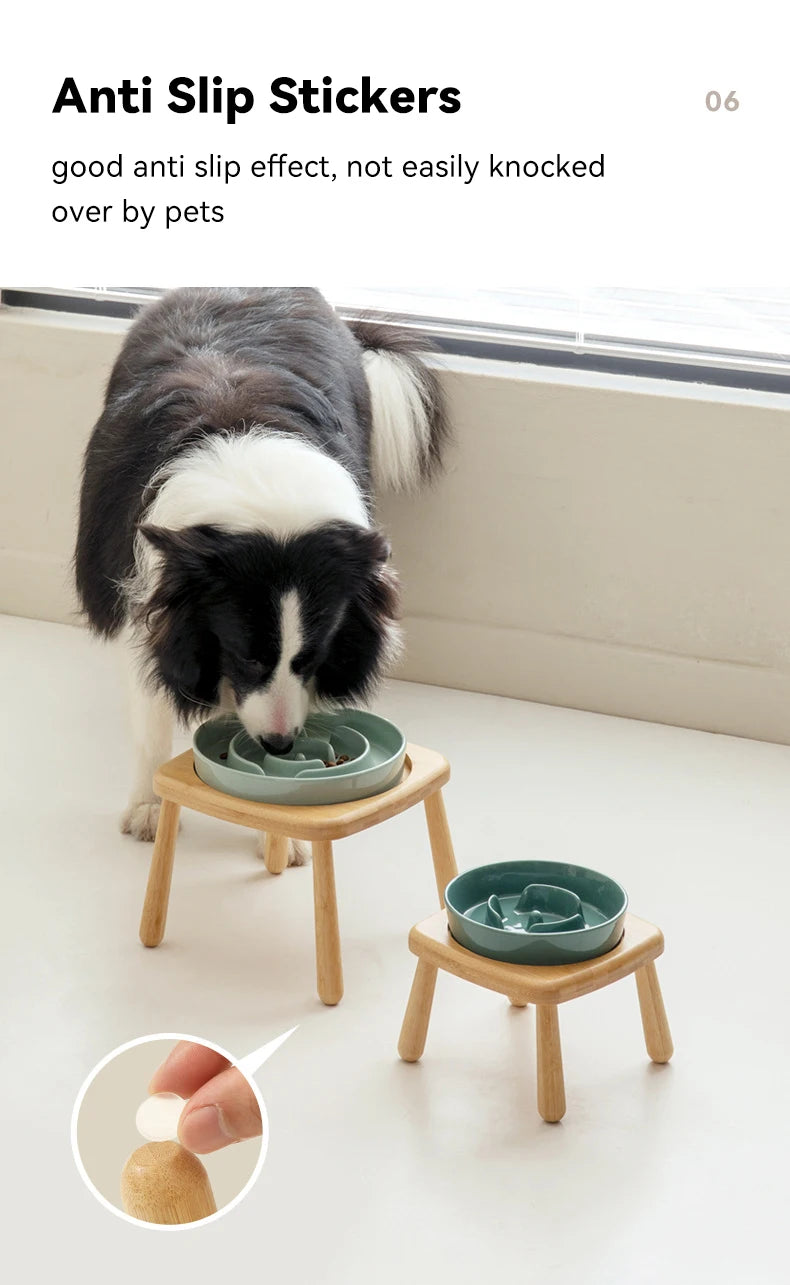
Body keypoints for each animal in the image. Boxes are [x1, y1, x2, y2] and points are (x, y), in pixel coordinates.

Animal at [76, 286, 447, 858]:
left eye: (312, 658)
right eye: (246, 656)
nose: (281, 743)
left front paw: (282, 836)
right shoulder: (140, 583)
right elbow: (151, 697)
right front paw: (149, 810)